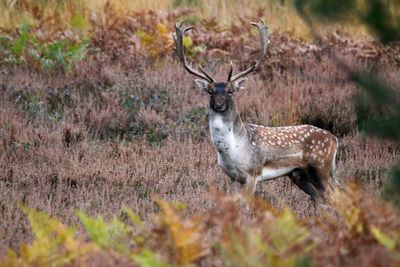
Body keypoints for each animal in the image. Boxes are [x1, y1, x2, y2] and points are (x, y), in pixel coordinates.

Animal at [173, 19, 340, 203]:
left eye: (230, 91)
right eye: (210, 91)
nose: (219, 105)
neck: (233, 150)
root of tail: (334, 139)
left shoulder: (252, 172)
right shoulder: (233, 177)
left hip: (321, 167)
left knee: (336, 195)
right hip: (299, 174)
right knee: (323, 198)